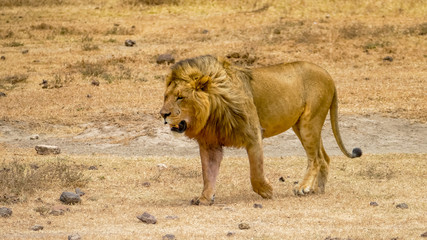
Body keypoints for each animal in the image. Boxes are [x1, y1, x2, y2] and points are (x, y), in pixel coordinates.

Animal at [160, 54, 362, 204]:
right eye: (165, 97)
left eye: (180, 97)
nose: (162, 114)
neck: (212, 112)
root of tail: (328, 75)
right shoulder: (210, 144)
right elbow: (208, 173)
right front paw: (205, 198)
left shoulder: (253, 133)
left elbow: (255, 173)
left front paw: (267, 191)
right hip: (301, 125)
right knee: (324, 158)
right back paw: (317, 189)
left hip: (309, 122)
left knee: (316, 159)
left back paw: (303, 187)